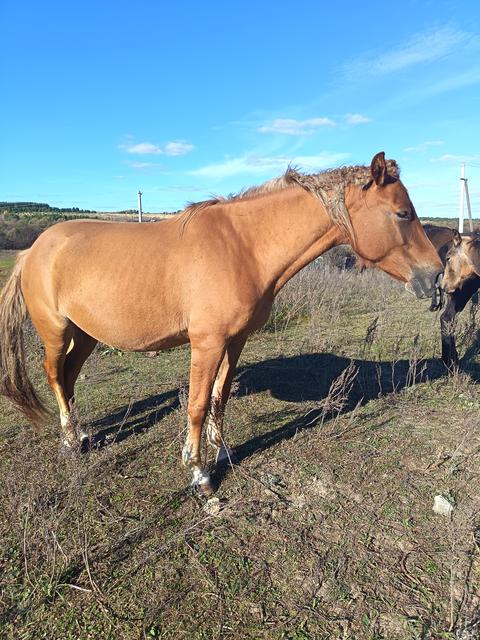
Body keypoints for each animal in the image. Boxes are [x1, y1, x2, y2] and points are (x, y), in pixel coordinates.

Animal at [0, 152, 443, 495]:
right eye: (402, 213)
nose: (436, 276)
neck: (243, 246)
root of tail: (34, 250)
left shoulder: (235, 341)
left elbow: (219, 397)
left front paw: (221, 452)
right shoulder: (207, 343)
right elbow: (197, 404)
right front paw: (199, 473)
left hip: (87, 334)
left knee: (70, 377)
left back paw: (83, 434)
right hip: (56, 332)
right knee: (55, 374)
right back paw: (69, 441)